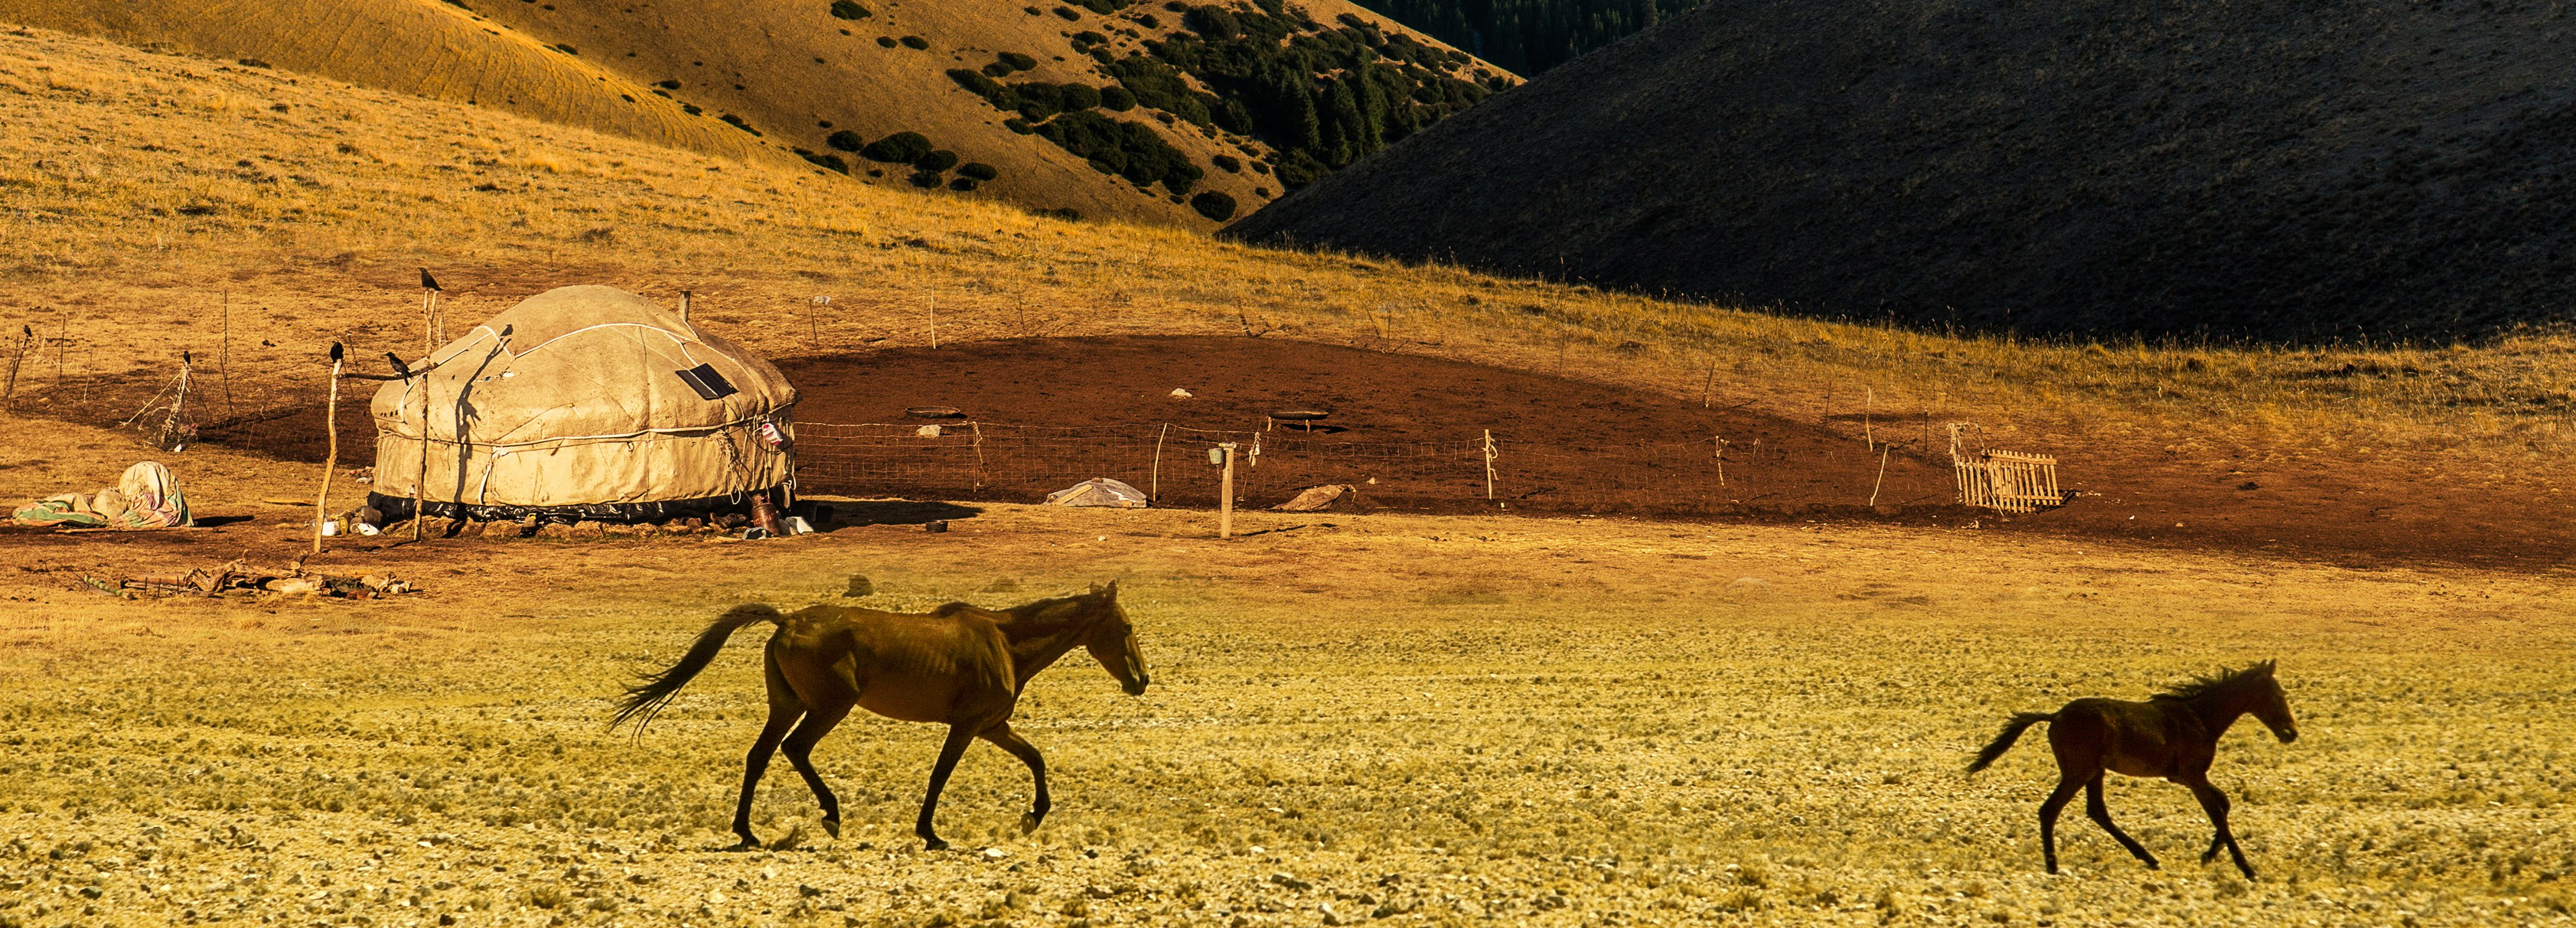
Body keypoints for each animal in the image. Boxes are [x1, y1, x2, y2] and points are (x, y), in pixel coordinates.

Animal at [610, 582, 1149, 850]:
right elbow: (940, 776)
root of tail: (787, 620)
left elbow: (1035, 758)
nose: (1141, 680)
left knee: (759, 756)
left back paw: (747, 832)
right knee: (794, 749)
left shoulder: (992, 726)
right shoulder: (968, 727)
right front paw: (931, 834)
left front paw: (1033, 816)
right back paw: (830, 815)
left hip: (788, 705)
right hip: (829, 706)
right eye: (1125, 627)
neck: (1004, 642)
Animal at [1958, 659, 2307, 876]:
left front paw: (2209, 856)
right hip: (2079, 771)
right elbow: (2218, 813)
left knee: (2097, 811)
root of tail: (2055, 716)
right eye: (2277, 695)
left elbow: (2224, 805)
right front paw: (2247, 869)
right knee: (2050, 810)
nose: (2290, 733)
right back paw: (2054, 867)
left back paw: (2148, 858)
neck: (2201, 718)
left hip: (2094, 772)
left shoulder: (2185, 777)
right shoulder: (2193, 777)